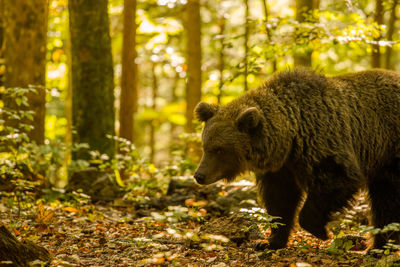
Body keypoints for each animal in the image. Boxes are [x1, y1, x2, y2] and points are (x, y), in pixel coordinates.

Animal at [194, 68, 400, 250]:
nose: (199, 175)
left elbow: (339, 179)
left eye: (219, 149)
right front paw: (269, 242)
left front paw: (321, 231)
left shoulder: (323, 144)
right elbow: (280, 201)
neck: (290, 139)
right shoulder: (281, 169)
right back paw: (379, 246)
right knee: (385, 201)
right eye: (205, 145)